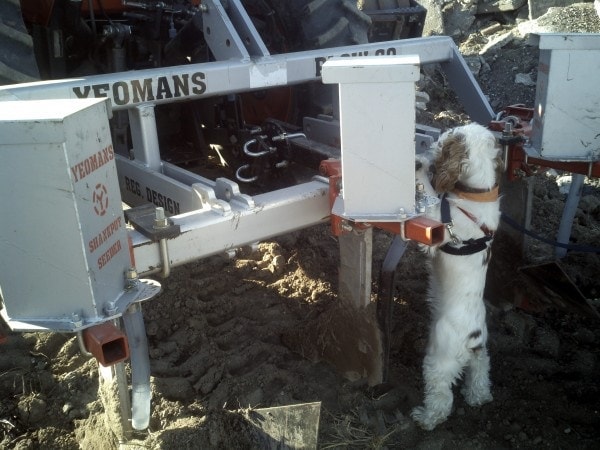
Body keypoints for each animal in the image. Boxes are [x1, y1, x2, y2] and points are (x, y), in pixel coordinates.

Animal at [412, 121, 502, 430]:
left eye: (441, 141)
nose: (427, 148)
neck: (476, 194)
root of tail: (472, 339)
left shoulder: (436, 225)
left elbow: (428, 195)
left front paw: (418, 166)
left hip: (439, 359)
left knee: (441, 398)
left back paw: (426, 418)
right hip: (480, 354)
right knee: (481, 373)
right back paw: (478, 398)